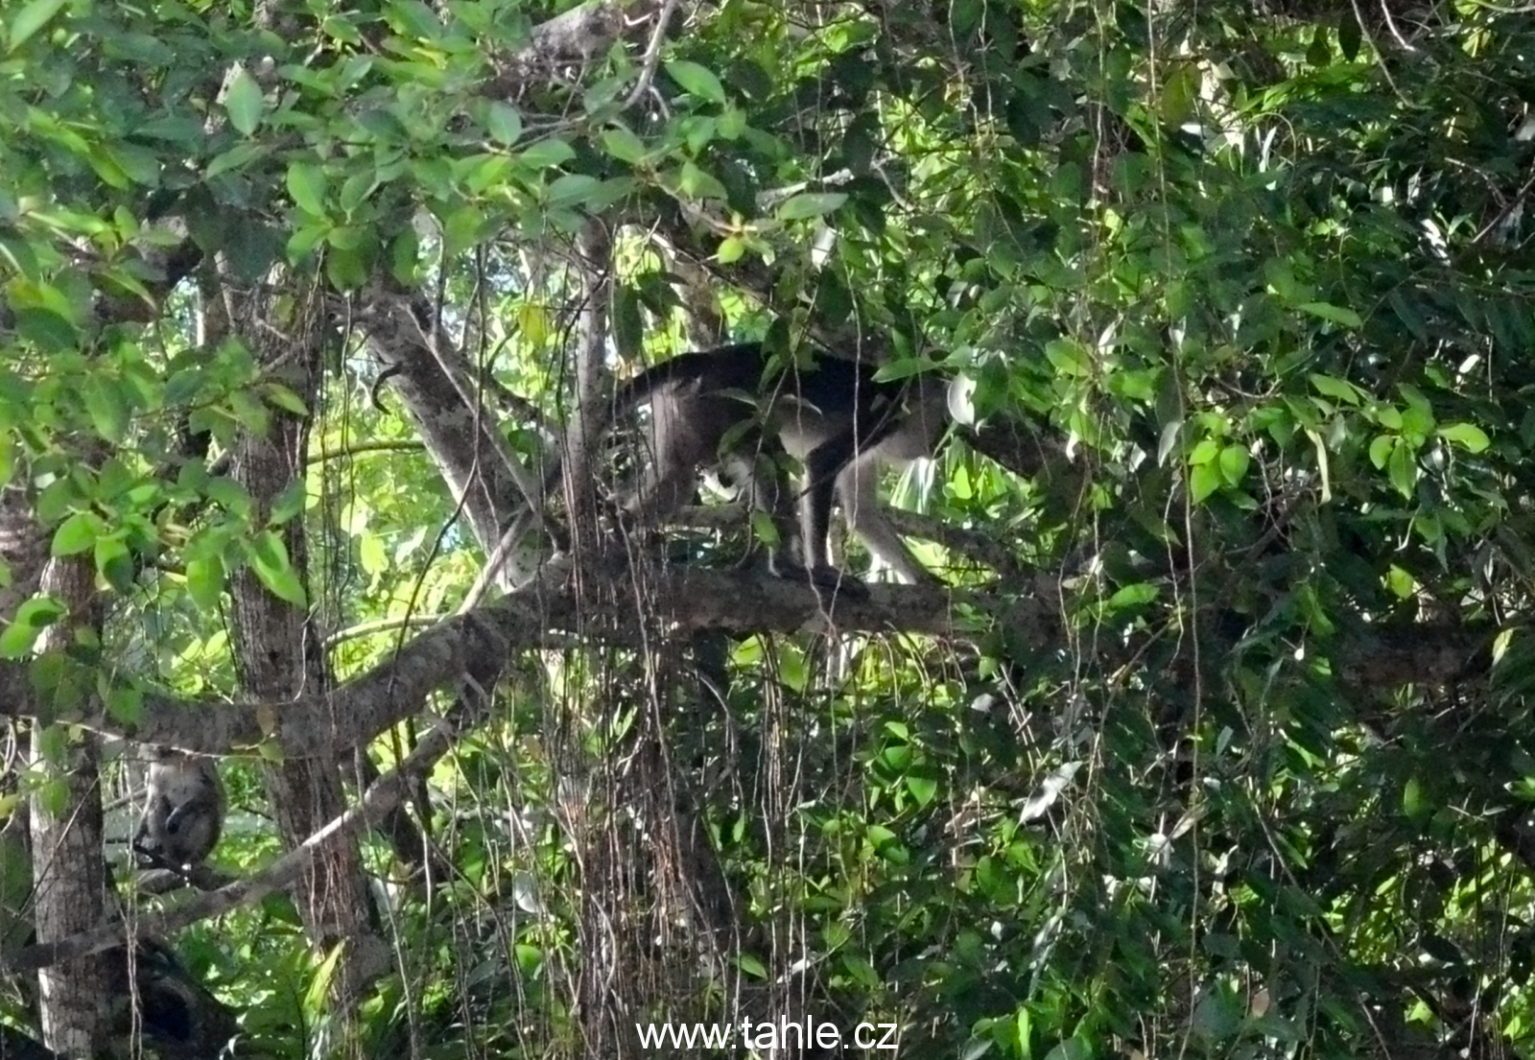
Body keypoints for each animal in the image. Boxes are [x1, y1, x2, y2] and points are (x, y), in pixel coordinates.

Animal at [580, 342, 951, 585]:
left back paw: (617, 532)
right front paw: (822, 571)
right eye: (945, 424)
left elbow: (863, 514)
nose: (943, 445)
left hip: (683, 408)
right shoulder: (880, 418)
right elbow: (820, 461)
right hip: (727, 403)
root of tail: (709, 359)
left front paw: (927, 582)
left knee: (675, 481)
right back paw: (786, 568)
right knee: (769, 456)